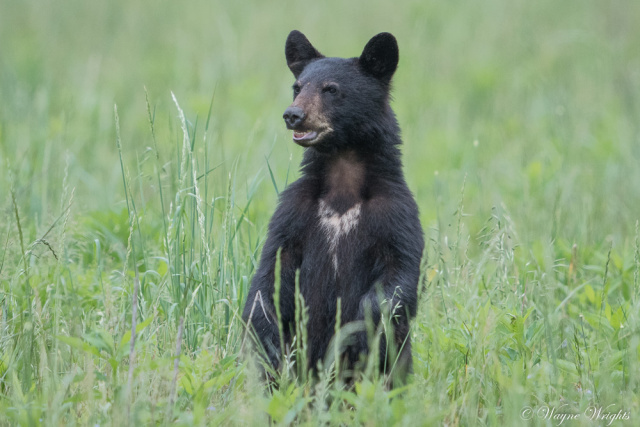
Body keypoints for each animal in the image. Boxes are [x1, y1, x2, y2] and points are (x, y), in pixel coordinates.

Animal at [242, 30, 422, 384]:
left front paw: (358, 333)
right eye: (298, 86)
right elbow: (272, 269)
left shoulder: (396, 213)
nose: (293, 115)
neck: (343, 182)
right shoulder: (294, 211)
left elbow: (399, 274)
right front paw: (267, 335)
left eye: (331, 89)